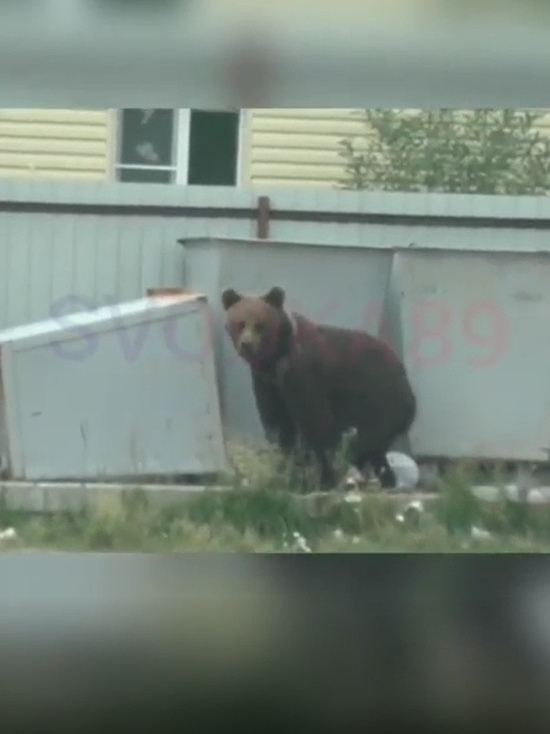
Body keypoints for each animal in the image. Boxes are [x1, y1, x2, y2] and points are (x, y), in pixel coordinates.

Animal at [221, 285, 417, 491]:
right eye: (240, 323)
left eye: (260, 324)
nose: (246, 344)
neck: (277, 361)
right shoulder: (267, 385)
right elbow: (277, 424)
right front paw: (288, 472)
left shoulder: (305, 376)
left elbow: (316, 423)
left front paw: (321, 477)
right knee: (373, 451)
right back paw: (384, 479)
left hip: (378, 401)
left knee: (362, 444)